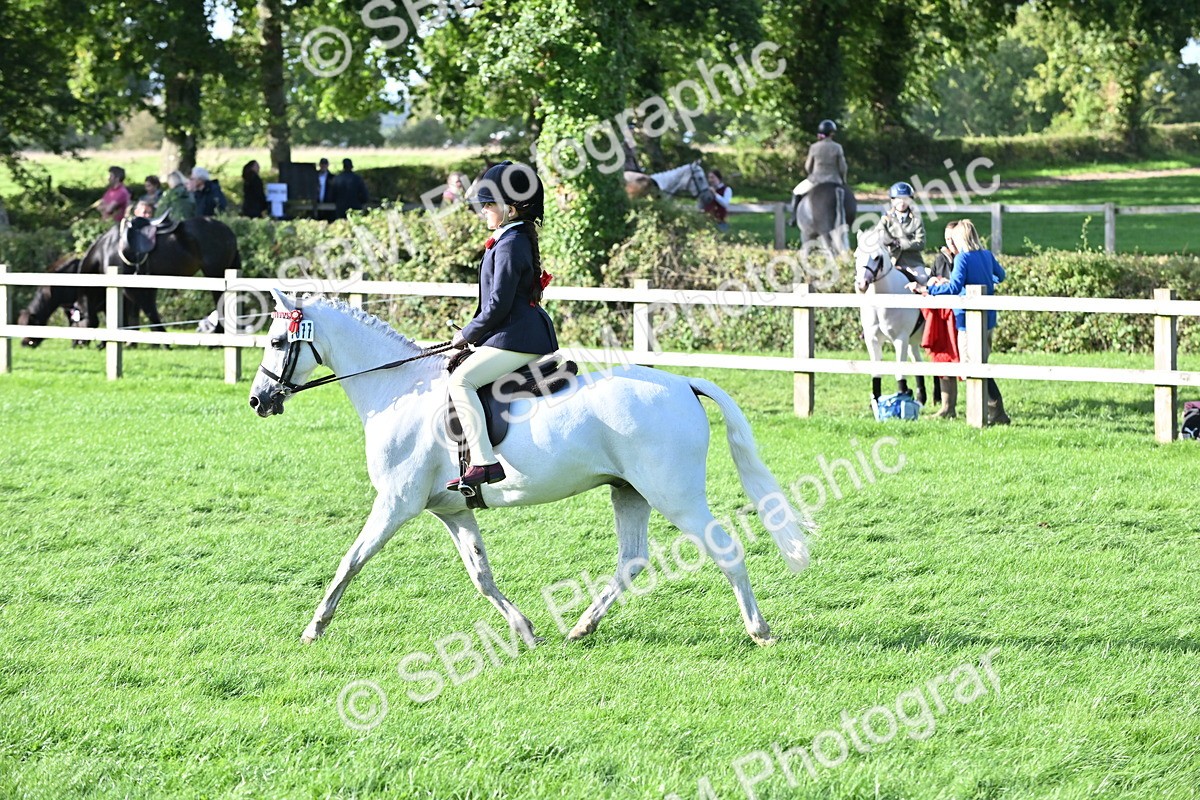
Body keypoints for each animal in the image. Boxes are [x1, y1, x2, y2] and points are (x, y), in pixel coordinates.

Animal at [248, 292, 812, 647]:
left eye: (277, 342)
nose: (258, 400)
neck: (398, 390)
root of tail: (682, 383)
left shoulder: (395, 503)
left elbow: (350, 561)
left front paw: (314, 627)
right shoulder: (452, 510)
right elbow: (481, 575)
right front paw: (524, 629)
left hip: (675, 495)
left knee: (725, 550)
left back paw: (759, 631)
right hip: (629, 491)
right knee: (631, 561)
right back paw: (581, 627)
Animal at [853, 228, 928, 408]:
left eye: (876, 257)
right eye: (856, 255)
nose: (861, 285)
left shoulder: (900, 339)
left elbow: (899, 371)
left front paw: (902, 396)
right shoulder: (873, 340)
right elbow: (876, 371)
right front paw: (875, 400)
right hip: (913, 341)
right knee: (918, 362)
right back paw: (922, 398)